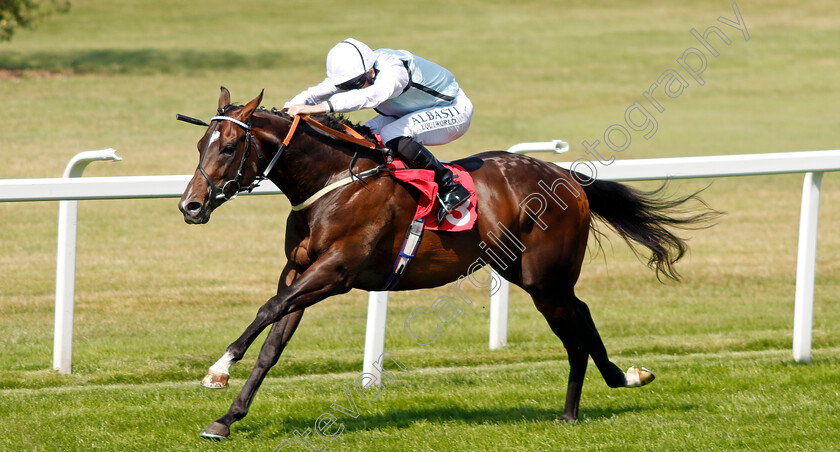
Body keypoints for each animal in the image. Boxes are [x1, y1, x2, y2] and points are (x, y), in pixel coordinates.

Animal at [179, 87, 716, 438]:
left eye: (230, 146)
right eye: (200, 145)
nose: (190, 205)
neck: (332, 182)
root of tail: (569, 176)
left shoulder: (335, 273)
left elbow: (267, 310)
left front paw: (218, 369)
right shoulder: (299, 271)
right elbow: (273, 342)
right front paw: (227, 418)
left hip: (544, 279)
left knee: (574, 327)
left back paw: (576, 408)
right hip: (529, 274)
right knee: (581, 316)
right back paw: (619, 380)